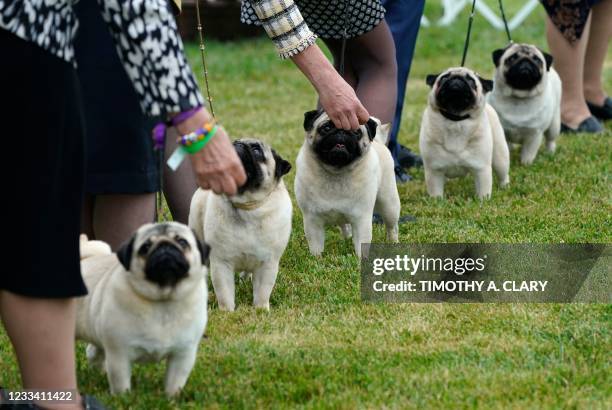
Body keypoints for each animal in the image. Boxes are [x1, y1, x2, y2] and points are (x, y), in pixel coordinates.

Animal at [76, 223, 210, 396]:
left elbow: (174, 382)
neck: (163, 301)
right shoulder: (119, 355)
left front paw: (171, 397)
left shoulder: (183, 355)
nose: (164, 246)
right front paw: (122, 398)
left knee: (93, 352)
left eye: (182, 242)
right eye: (145, 247)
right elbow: (121, 383)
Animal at [189, 138, 292, 310]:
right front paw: (227, 311)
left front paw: (261, 310)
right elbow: (225, 294)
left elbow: (263, 292)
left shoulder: (268, 264)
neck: (247, 206)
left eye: (257, 151)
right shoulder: (221, 264)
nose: (238, 145)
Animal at [296, 110, 402, 258]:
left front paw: (361, 260)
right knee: (344, 226)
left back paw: (393, 242)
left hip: (389, 204)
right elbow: (316, 246)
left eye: (356, 132)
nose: (342, 131)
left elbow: (361, 244)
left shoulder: (361, 219)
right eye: (326, 128)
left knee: (392, 226)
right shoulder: (312, 221)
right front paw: (317, 259)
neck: (336, 172)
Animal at [420, 67, 512, 199]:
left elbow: (483, 191)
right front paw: (437, 201)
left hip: (500, 157)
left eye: (471, 80)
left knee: (503, 172)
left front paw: (483, 201)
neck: (455, 119)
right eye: (444, 78)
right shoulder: (434, 171)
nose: (456, 78)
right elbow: (436, 193)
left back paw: (505, 186)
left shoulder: (481, 169)